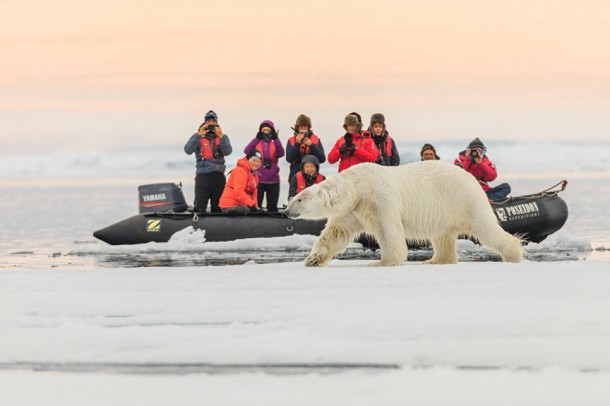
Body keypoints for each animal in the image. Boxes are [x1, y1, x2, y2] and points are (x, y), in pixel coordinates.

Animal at [282, 160, 520, 268]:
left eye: (299, 199)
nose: (286, 211)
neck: (357, 187)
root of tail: (472, 178)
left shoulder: (378, 199)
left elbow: (388, 230)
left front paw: (382, 262)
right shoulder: (352, 210)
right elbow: (335, 233)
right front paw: (313, 259)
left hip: (462, 200)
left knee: (485, 227)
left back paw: (513, 254)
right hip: (444, 212)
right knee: (442, 236)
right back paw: (435, 260)